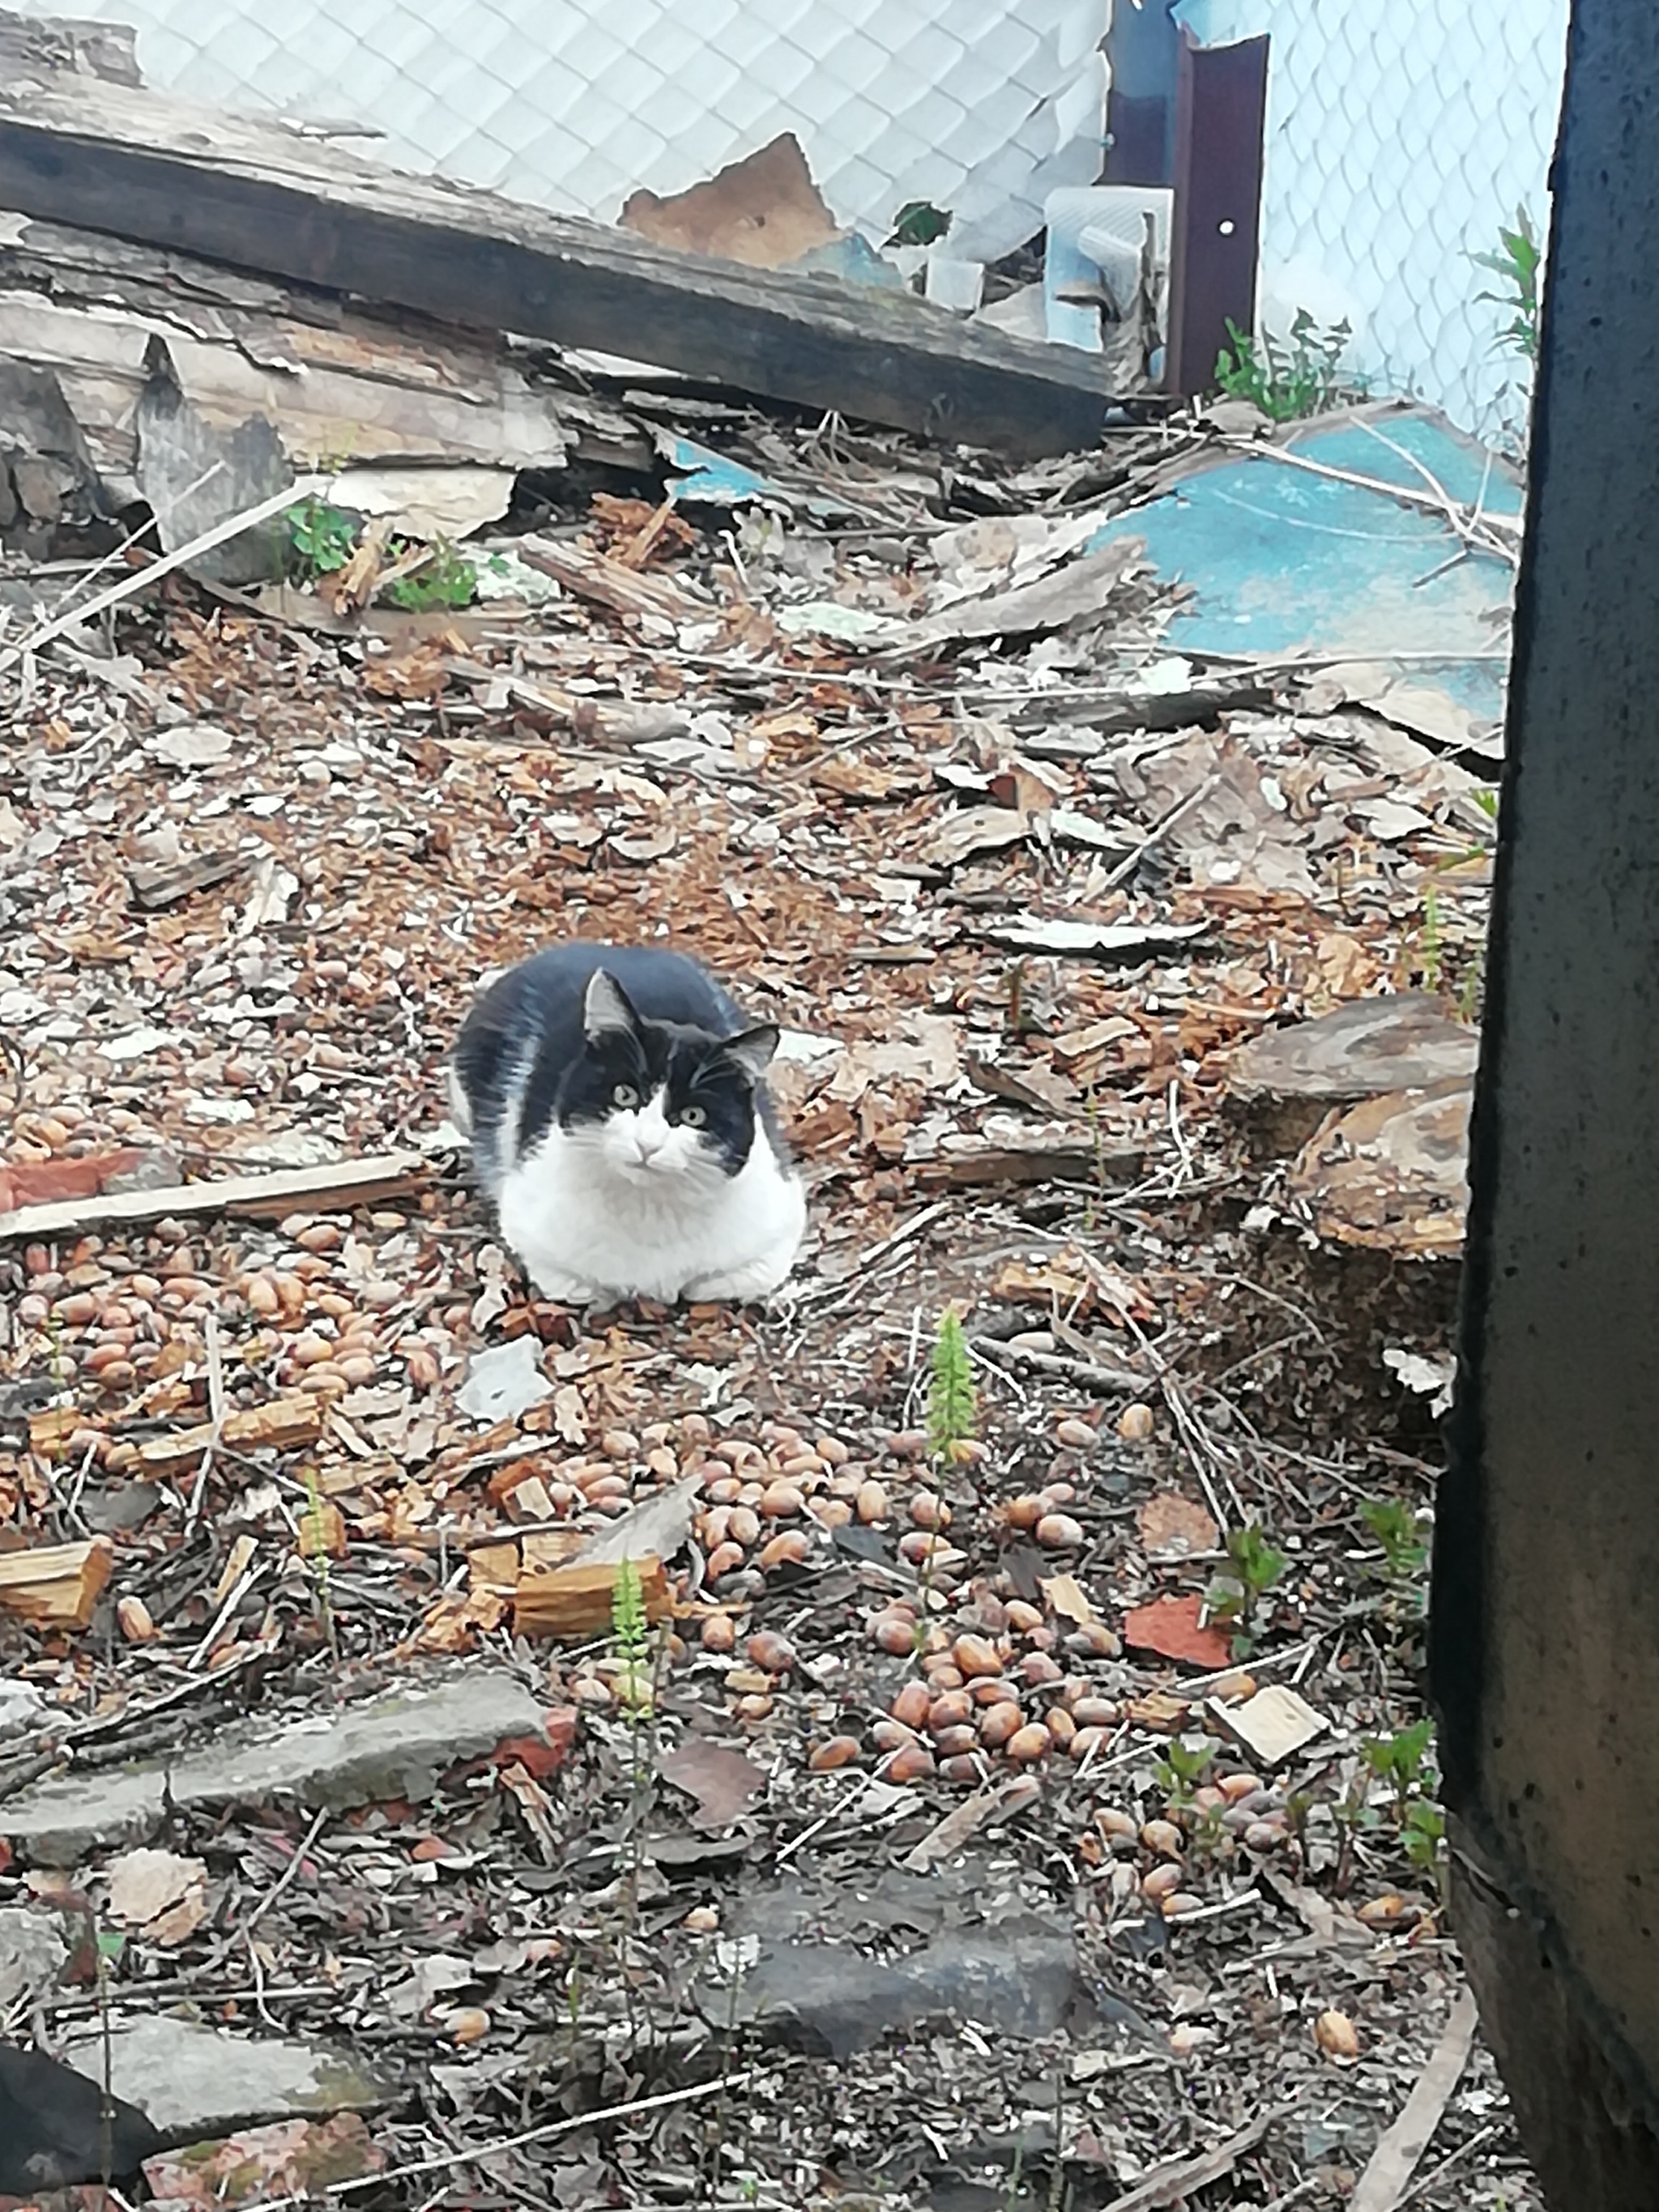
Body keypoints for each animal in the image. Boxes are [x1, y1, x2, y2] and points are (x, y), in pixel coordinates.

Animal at [442, 937, 804, 1309]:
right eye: (625, 1095)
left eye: (693, 1115)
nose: (648, 1143)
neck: (648, 1209)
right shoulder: (530, 1228)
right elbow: (577, 1285)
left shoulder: (779, 1226)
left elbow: (719, 1283)